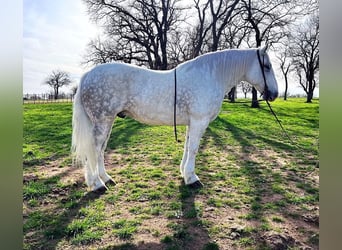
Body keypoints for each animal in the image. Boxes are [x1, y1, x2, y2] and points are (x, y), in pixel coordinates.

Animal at [72, 46, 278, 191]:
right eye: (266, 66)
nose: (274, 94)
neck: (211, 76)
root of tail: (87, 75)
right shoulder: (199, 122)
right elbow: (194, 149)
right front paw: (192, 179)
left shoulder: (191, 123)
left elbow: (187, 147)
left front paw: (184, 174)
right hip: (102, 121)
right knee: (94, 149)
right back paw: (97, 184)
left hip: (107, 122)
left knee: (99, 150)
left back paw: (106, 178)